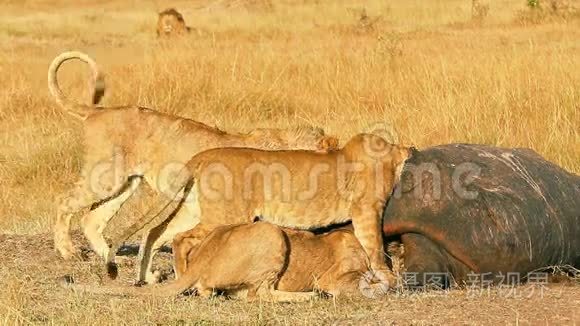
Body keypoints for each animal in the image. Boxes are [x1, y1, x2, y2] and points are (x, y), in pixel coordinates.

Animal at [104, 132, 412, 286]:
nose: (410, 150)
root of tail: (202, 156)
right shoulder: (367, 210)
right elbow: (374, 246)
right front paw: (389, 277)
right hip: (225, 215)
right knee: (181, 239)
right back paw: (182, 277)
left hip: (194, 210)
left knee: (158, 232)